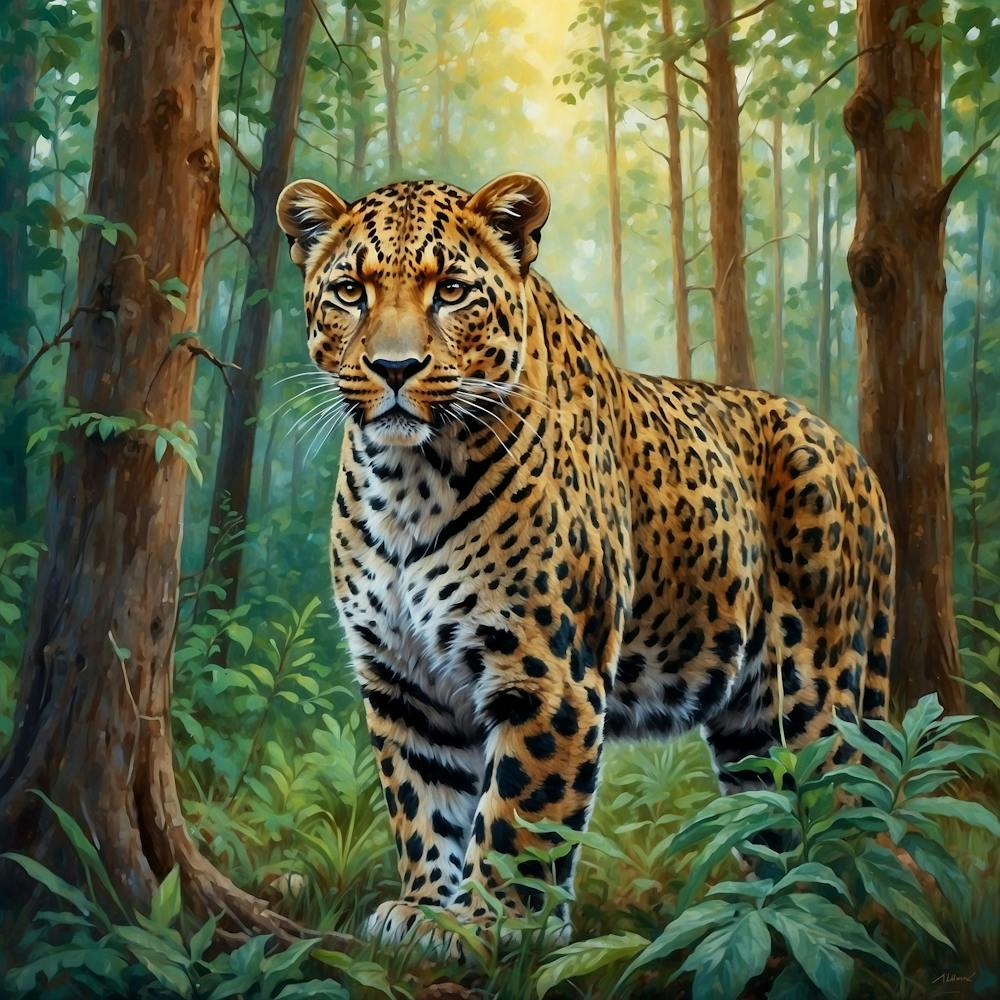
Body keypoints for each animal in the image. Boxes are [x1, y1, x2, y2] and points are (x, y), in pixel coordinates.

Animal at [276, 172, 895, 955]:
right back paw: (769, 911)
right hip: (753, 730)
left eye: (451, 290)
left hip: (813, 698)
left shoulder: (546, 674)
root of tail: (855, 459)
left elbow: (518, 814)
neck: (409, 480)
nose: (393, 368)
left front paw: (490, 925)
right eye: (351, 291)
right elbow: (425, 804)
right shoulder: (405, 682)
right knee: (775, 816)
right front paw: (424, 909)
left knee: (839, 809)